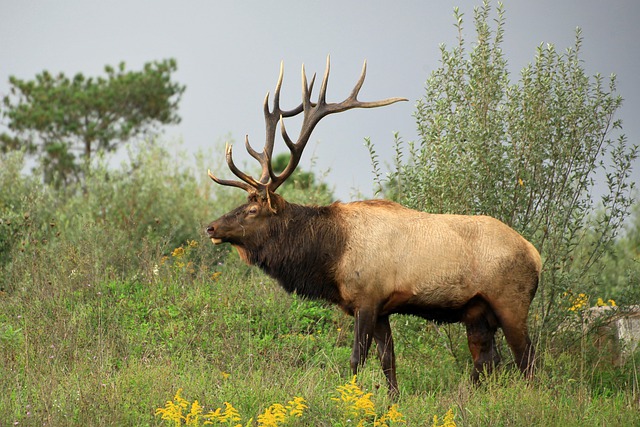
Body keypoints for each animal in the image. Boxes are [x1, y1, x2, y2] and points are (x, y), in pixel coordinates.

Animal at [206, 57, 540, 398]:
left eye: (253, 209)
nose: (211, 228)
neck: (330, 255)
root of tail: (535, 254)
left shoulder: (367, 298)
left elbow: (357, 358)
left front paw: (350, 397)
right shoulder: (382, 309)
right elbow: (388, 360)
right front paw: (392, 400)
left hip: (511, 303)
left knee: (527, 360)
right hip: (477, 312)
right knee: (487, 359)